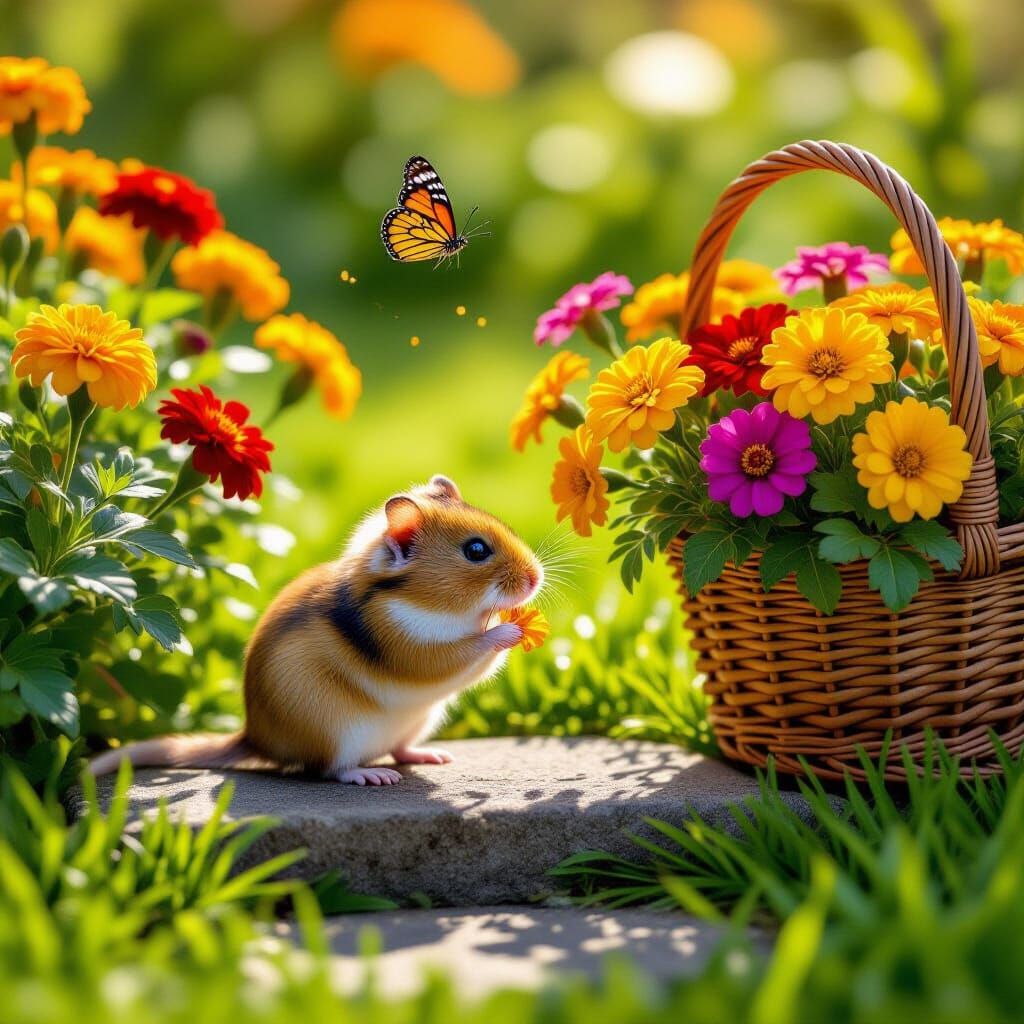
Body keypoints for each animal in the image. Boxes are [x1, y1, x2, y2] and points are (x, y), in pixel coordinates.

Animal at [89, 475, 543, 785]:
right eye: (476, 550)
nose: (535, 578)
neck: (431, 603)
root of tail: (256, 740)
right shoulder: (406, 647)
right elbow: (457, 657)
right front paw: (505, 630)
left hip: (418, 720)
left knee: (396, 749)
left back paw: (426, 756)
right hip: (334, 732)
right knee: (327, 769)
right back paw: (368, 775)